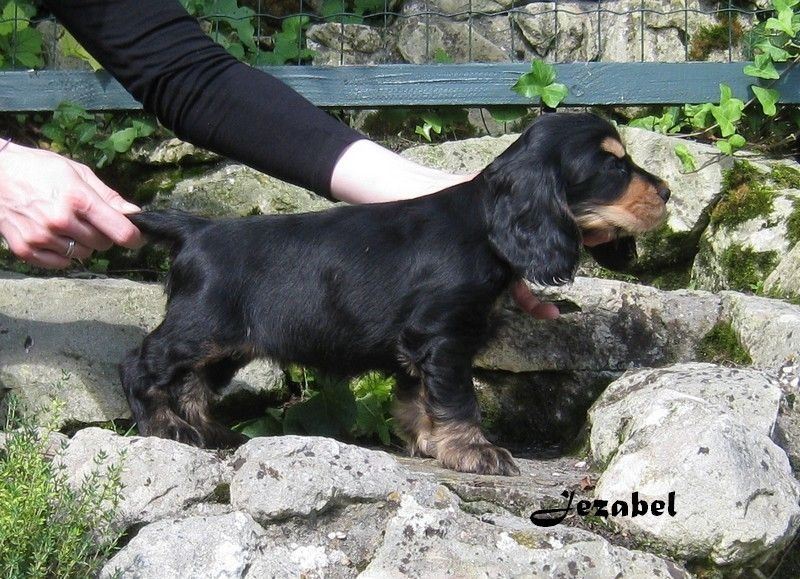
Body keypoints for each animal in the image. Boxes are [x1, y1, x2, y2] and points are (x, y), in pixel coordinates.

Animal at [121, 112, 669, 476]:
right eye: (614, 167)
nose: (666, 192)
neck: (485, 223)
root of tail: (198, 229)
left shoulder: (420, 346)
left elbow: (417, 397)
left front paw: (428, 442)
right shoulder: (442, 338)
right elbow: (457, 399)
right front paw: (474, 451)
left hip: (227, 346)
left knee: (191, 383)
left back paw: (208, 433)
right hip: (201, 328)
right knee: (142, 363)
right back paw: (163, 427)